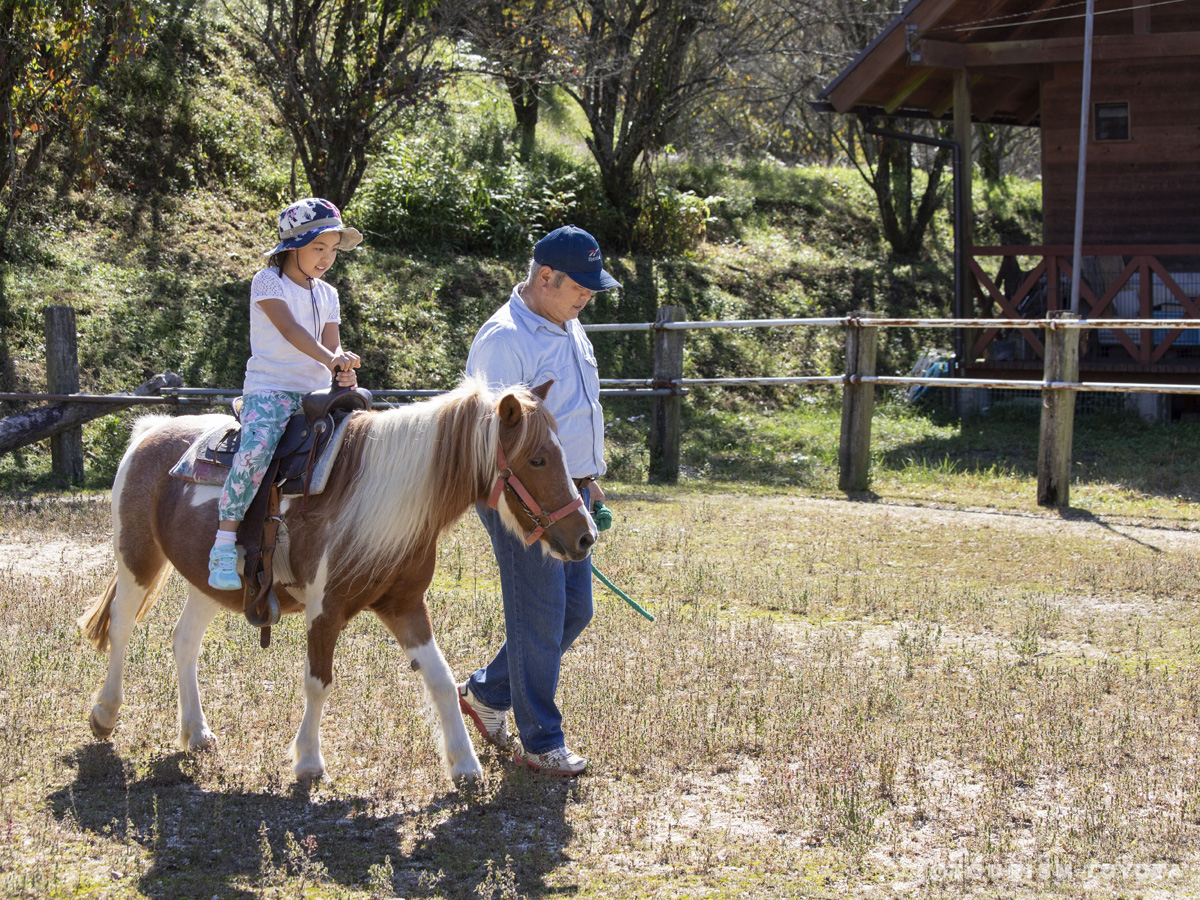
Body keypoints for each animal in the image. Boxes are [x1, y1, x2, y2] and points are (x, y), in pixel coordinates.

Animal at [78, 376, 595, 787]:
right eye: (538, 460)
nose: (585, 536)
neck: (380, 498)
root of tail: (150, 430)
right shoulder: (324, 610)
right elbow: (318, 681)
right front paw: (308, 761)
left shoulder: (405, 606)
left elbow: (442, 679)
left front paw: (465, 765)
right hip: (137, 559)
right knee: (121, 627)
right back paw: (105, 713)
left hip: (211, 583)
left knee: (184, 641)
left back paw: (197, 732)